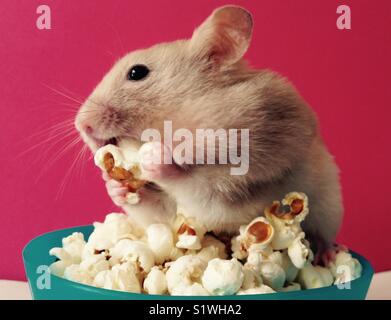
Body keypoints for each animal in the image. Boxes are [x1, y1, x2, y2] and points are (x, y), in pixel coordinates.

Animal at [74, 5, 344, 258]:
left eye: (137, 72)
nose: (82, 124)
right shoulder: (169, 213)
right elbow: (155, 205)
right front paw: (113, 184)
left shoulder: (241, 177)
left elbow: (194, 183)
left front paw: (154, 158)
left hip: (329, 205)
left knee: (325, 236)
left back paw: (327, 257)